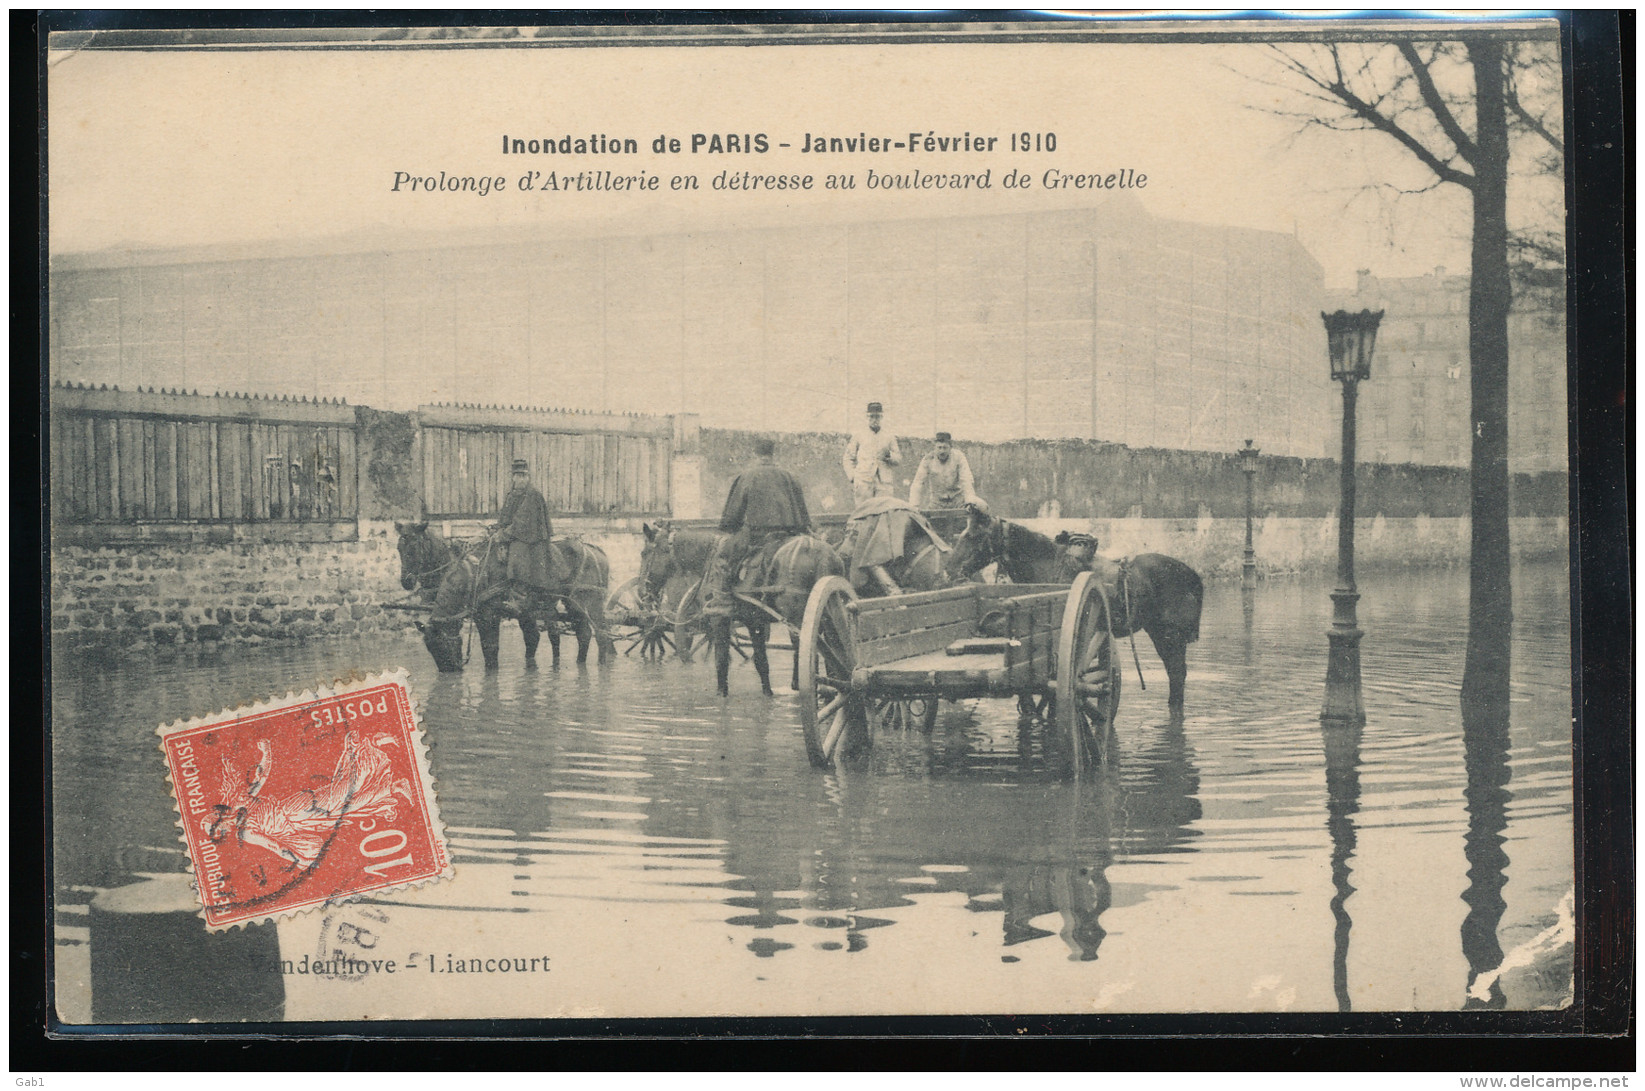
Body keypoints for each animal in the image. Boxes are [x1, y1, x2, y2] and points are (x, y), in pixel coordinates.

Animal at [396, 523, 618, 674]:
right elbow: (531, 640)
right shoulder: (506, 613)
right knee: (583, 635)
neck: (474, 573)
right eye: (430, 648)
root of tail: (595, 550)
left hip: (591, 602)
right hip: (572, 605)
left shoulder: (489, 615)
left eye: (413, 547)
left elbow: (491, 650)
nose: (406, 581)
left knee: (602, 634)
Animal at [634, 526, 848, 701]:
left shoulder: (719, 620)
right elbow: (761, 663)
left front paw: (721, 693)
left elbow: (721, 661)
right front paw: (768, 693)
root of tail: (818, 551)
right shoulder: (755, 622)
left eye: (644, 553)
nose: (642, 592)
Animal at [947, 510, 1204, 717]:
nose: (950, 571)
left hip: (1170, 638)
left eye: (974, 536)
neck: (1050, 565)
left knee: (1177, 675)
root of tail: (1192, 574)